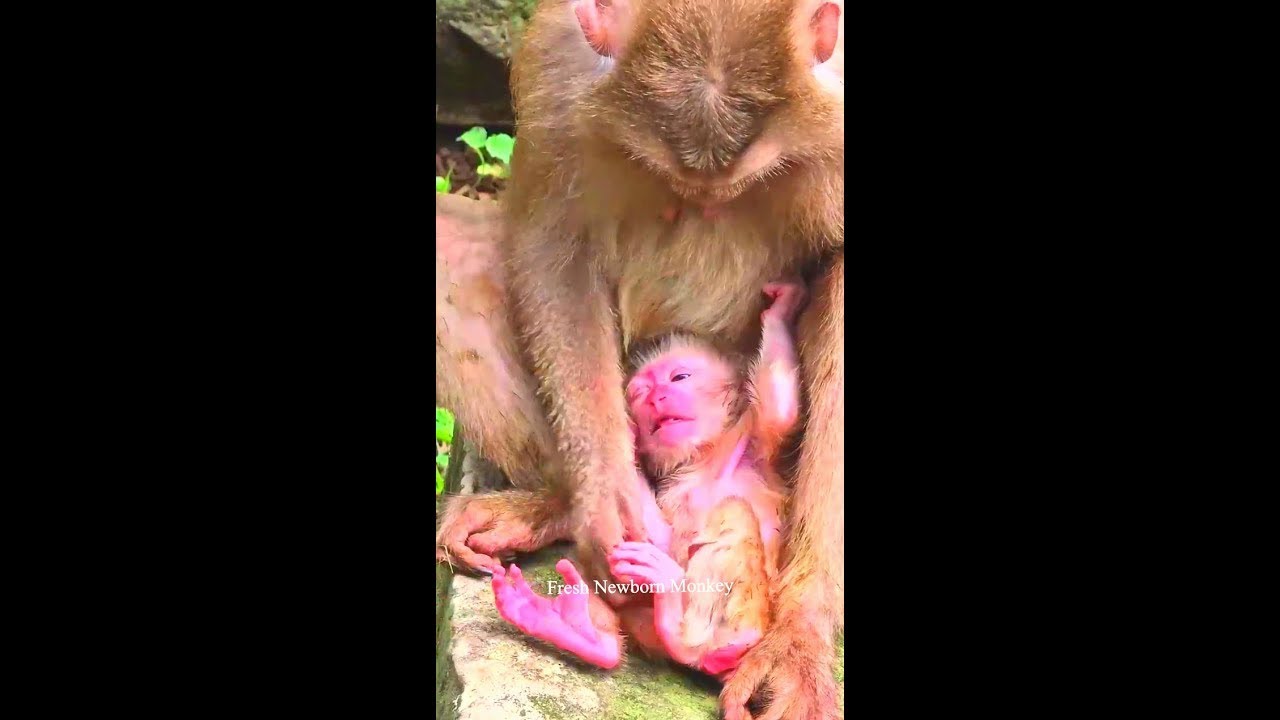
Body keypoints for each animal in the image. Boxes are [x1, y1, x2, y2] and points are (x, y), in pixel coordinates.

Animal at [489, 280, 805, 680]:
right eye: (641, 393)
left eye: (679, 377)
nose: (657, 398)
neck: (702, 459)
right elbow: (657, 536)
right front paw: (626, 444)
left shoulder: (754, 444)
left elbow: (780, 412)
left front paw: (779, 311)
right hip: (644, 623)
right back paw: (586, 634)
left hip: (750, 615)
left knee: (732, 512)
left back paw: (689, 626)